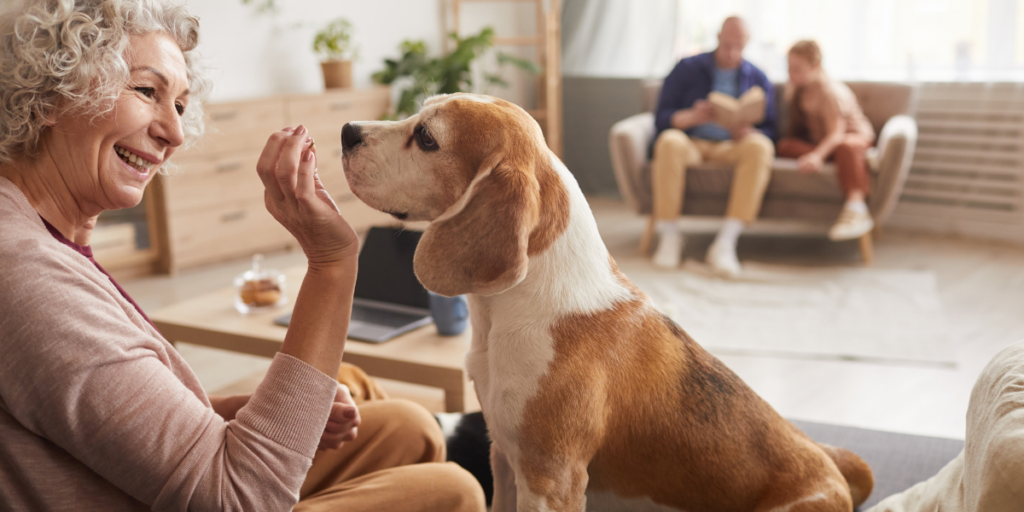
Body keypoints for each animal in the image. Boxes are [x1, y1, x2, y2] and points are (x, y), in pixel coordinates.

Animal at [342, 94, 872, 509]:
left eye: (426, 138)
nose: (347, 130)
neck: (510, 313)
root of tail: (829, 465)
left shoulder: (549, 479)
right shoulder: (505, 460)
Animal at [778, 39, 876, 239]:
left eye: (795, 67)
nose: (790, 74)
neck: (815, 82)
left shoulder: (833, 101)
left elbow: (834, 133)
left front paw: (813, 159)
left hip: (859, 139)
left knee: (847, 147)